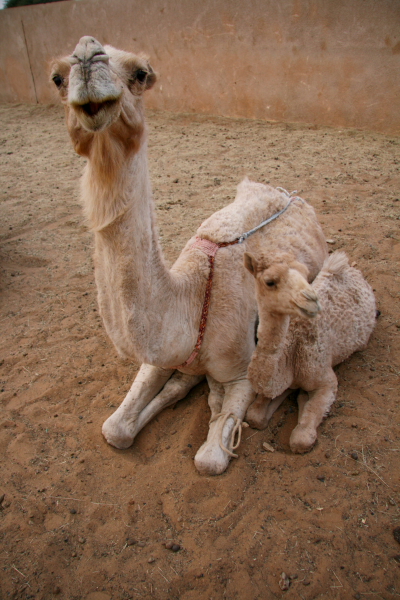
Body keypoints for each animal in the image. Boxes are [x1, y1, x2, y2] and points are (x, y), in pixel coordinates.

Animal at [50, 37, 328, 474]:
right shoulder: (160, 355)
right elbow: (115, 428)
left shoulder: (242, 371)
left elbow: (209, 459)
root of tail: (291, 194)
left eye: (141, 73)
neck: (194, 299)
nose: (86, 56)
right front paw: (174, 390)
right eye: (57, 78)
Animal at [242, 251, 376, 452]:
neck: (291, 354)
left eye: (305, 274)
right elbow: (254, 416)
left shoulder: (325, 380)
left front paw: (303, 402)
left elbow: (301, 439)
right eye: (270, 281)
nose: (312, 300)